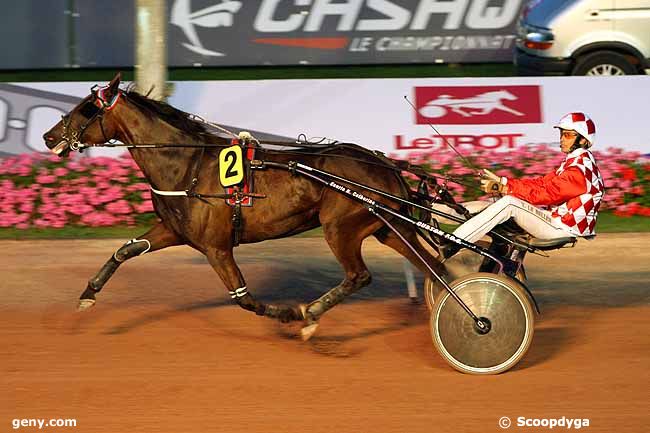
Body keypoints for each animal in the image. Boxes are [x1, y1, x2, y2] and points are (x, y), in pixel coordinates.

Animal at [43, 73, 442, 338]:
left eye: (87, 109)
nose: (48, 137)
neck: (187, 164)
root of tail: (385, 164)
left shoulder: (217, 247)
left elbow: (244, 298)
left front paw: (289, 313)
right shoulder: (173, 230)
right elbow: (124, 251)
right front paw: (88, 296)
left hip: (340, 227)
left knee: (360, 275)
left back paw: (313, 313)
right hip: (388, 228)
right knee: (432, 264)